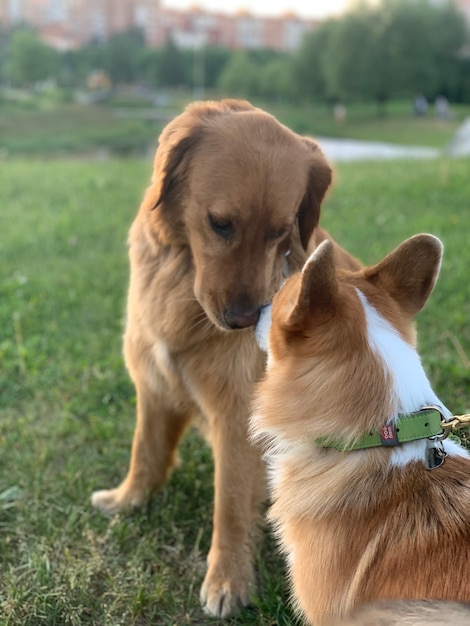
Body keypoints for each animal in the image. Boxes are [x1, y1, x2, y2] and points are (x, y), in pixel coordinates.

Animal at [90, 98, 358, 616]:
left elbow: (230, 504)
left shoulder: (237, 417)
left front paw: (227, 580)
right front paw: (129, 499)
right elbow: (145, 451)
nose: (243, 320)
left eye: (280, 231)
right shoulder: (155, 384)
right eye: (220, 223)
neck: (181, 281)